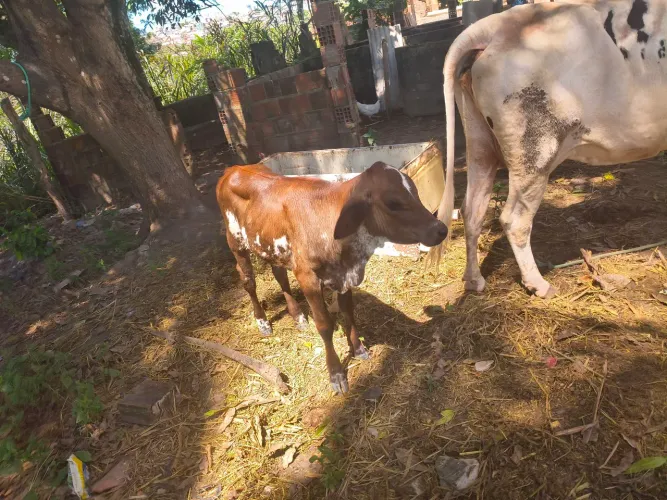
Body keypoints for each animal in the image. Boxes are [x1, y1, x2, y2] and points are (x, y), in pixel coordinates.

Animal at [217, 162, 448, 393]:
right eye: (393, 203)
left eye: (416, 192)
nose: (442, 229)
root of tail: (234, 168)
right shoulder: (307, 277)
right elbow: (325, 325)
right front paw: (336, 374)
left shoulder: (343, 276)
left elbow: (349, 313)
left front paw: (358, 349)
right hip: (236, 242)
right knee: (248, 281)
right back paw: (263, 322)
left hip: (272, 247)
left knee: (279, 274)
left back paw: (298, 316)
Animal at [431, 0, 667, 298]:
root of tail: (495, 25)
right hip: (534, 149)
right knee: (514, 219)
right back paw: (539, 284)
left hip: (480, 142)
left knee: (472, 209)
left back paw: (474, 280)